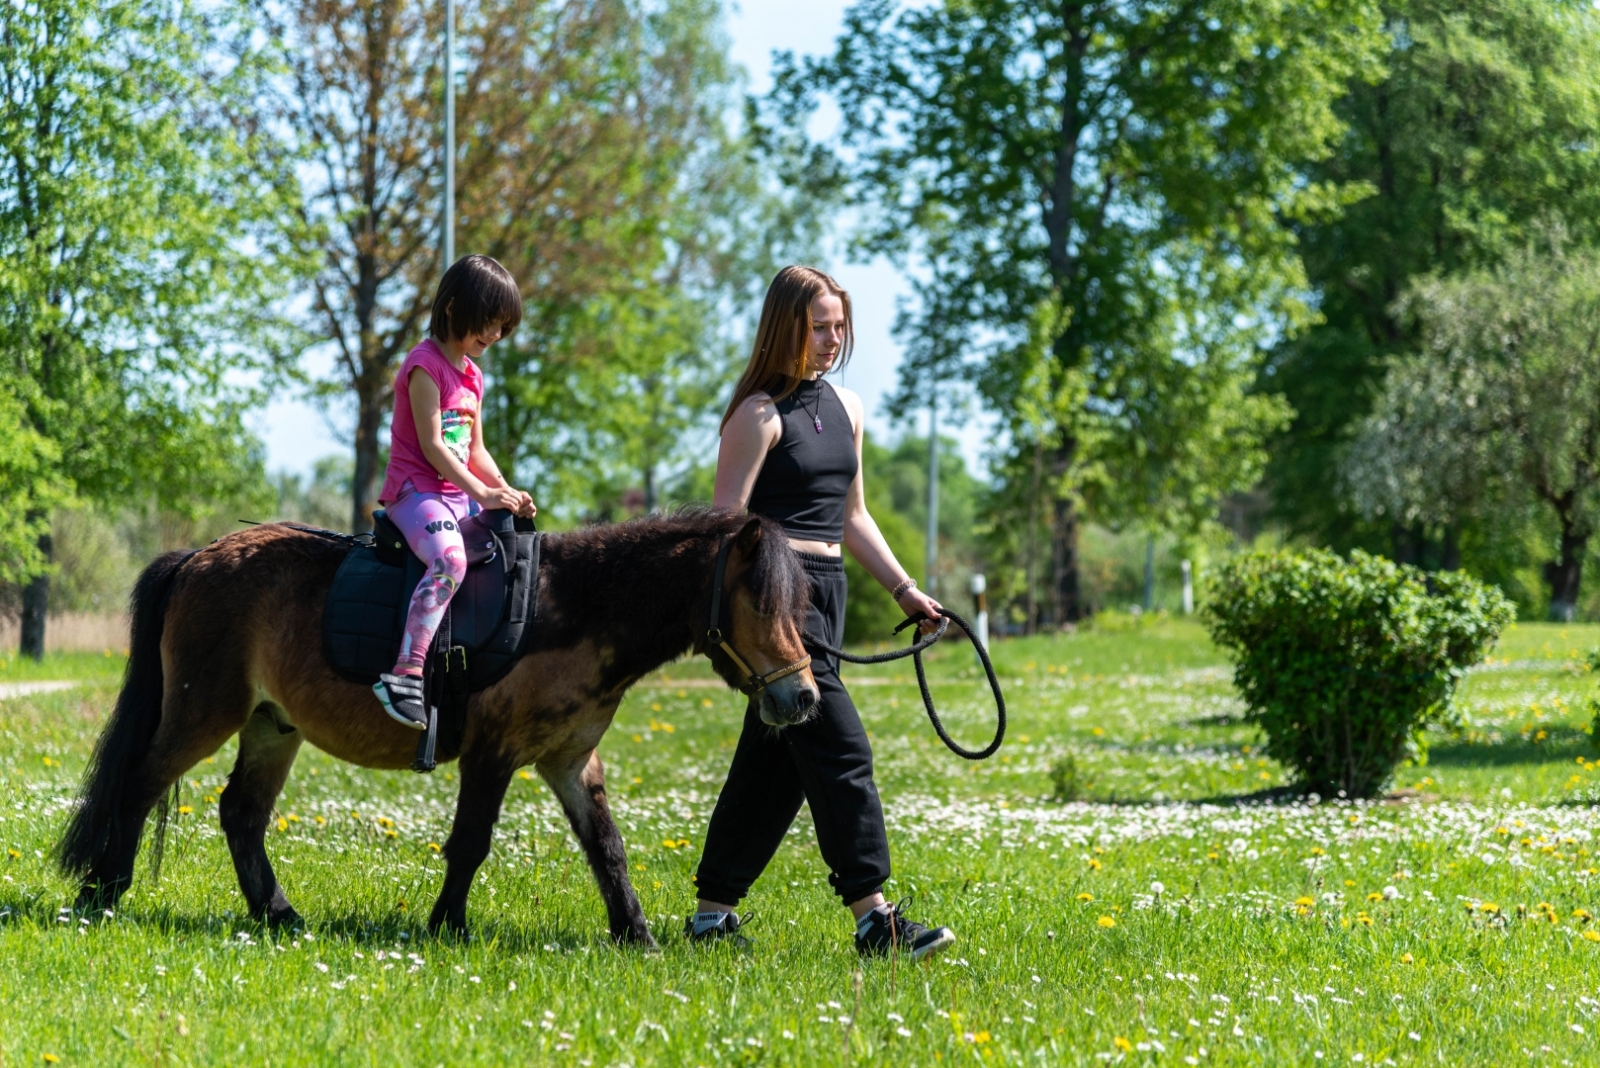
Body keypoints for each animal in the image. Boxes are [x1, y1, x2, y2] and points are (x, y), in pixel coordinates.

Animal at [56, 511, 819, 946]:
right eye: (761, 599)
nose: (804, 696)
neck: (568, 605)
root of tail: (197, 557)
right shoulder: (494, 752)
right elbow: (471, 844)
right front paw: (448, 927)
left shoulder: (571, 761)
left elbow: (608, 848)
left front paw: (635, 934)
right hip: (204, 713)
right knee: (136, 788)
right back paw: (103, 895)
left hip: (273, 726)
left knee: (240, 813)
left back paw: (279, 915)